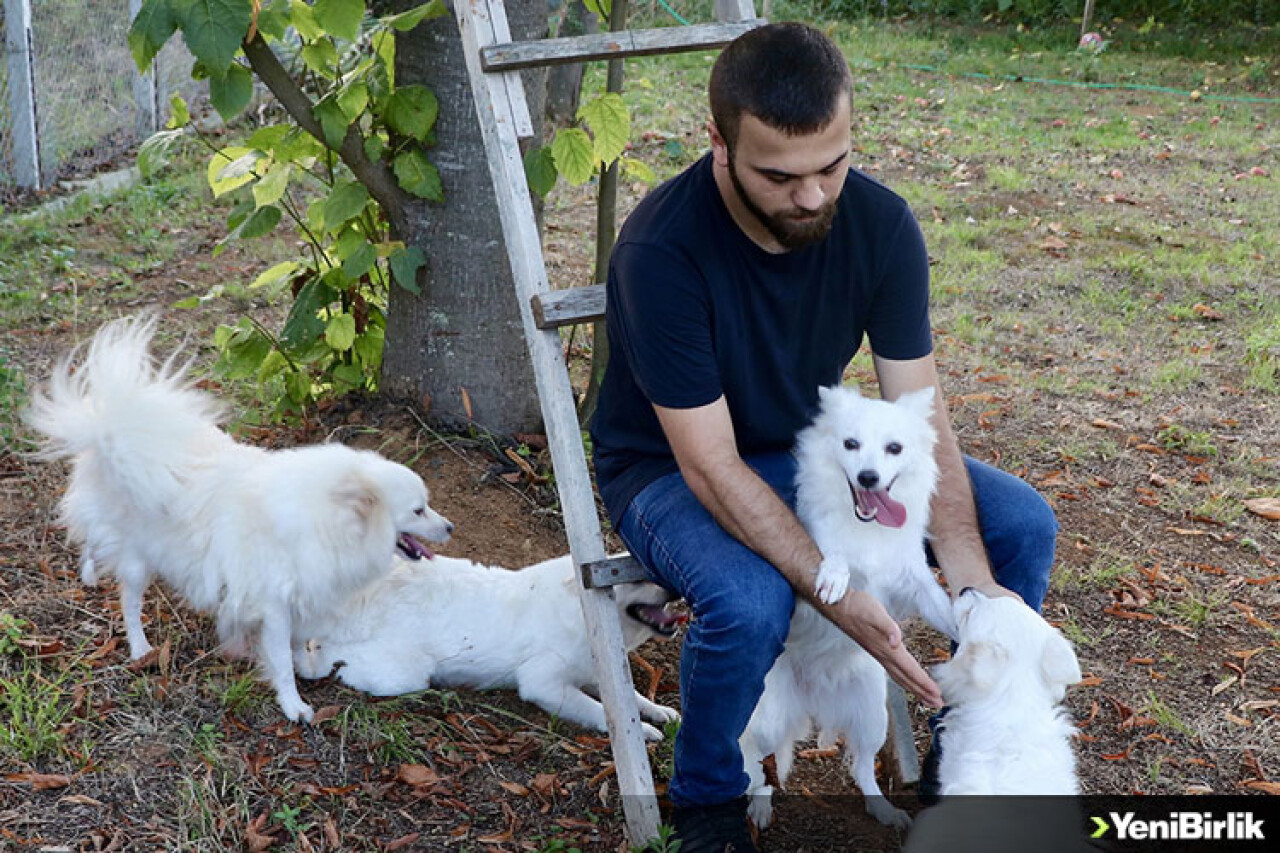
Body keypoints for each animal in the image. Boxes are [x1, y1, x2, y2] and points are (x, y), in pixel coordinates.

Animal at [23, 315, 455, 722]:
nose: (450, 527)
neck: (329, 520)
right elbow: (280, 661)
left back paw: (89, 573)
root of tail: (109, 434)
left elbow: (298, 647)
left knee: (91, 542)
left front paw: (308, 667)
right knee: (127, 600)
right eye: (418, 510)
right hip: (136, 562)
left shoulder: (299, 601)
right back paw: (140, 647)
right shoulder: (275, 608)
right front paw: (294, 705)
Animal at [294, 550, 686, 737]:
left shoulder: (593, 674)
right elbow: (601, 711)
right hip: (406, 675)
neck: (580, 610)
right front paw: (645, 731)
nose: (676, 583)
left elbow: (631, 698)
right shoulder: (543, 684)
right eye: (635, 576)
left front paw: (659, 712)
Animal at [742, 381, 962, 824]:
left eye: (894, 448)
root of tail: (813, 696)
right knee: (757, 763)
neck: (868, 529)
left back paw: (884, 810)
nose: (868, 476)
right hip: (769, 719)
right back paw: (759, 804)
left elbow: (946, 610)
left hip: (872, 717)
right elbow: (833, 554)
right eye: (850, 444)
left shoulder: (916, 584)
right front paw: (835, 576)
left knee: (862, 768)